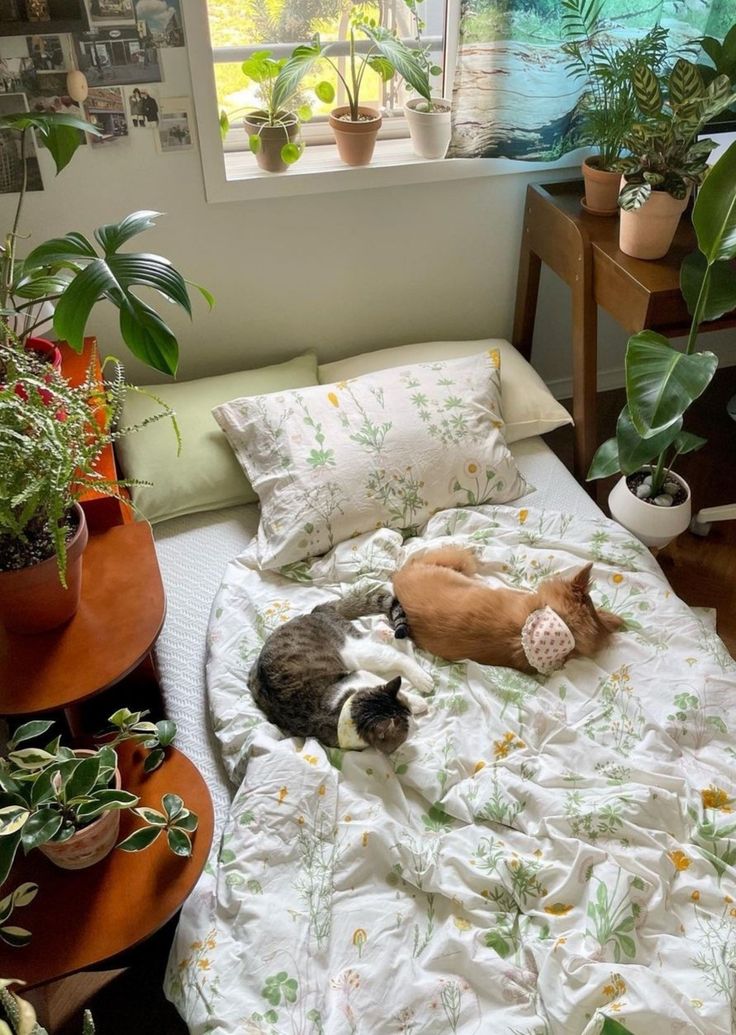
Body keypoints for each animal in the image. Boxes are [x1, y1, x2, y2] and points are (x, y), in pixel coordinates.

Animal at [249, 592, 432, 753]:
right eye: (408, 727)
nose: (418, 725)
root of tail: (315, 612)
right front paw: (417, 703)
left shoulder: (359, 674)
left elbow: (386, 683)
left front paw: (417, 702)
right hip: (355, 652)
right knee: (391, 646)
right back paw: (386, 633)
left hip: (353, 650)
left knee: (399, 652)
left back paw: (422, 678)